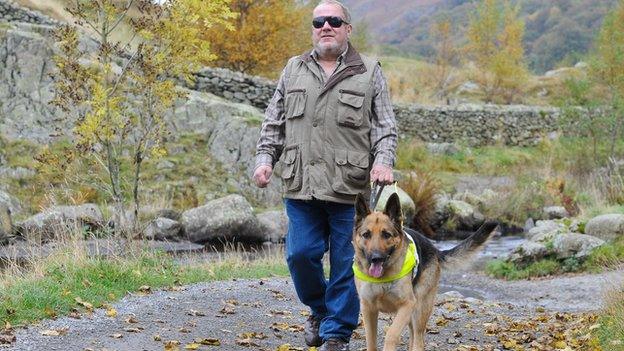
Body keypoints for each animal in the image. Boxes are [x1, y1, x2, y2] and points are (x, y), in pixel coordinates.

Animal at [354, 194, 500, 350]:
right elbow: (371, 341)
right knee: (413, 338)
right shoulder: (368, 309)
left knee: (418, 340)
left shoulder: (407, 305)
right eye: (366, 235)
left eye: (386, 235)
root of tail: (434, 248)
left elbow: (391, 334)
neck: (382, 277)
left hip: (418, 310)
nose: (376, 258)